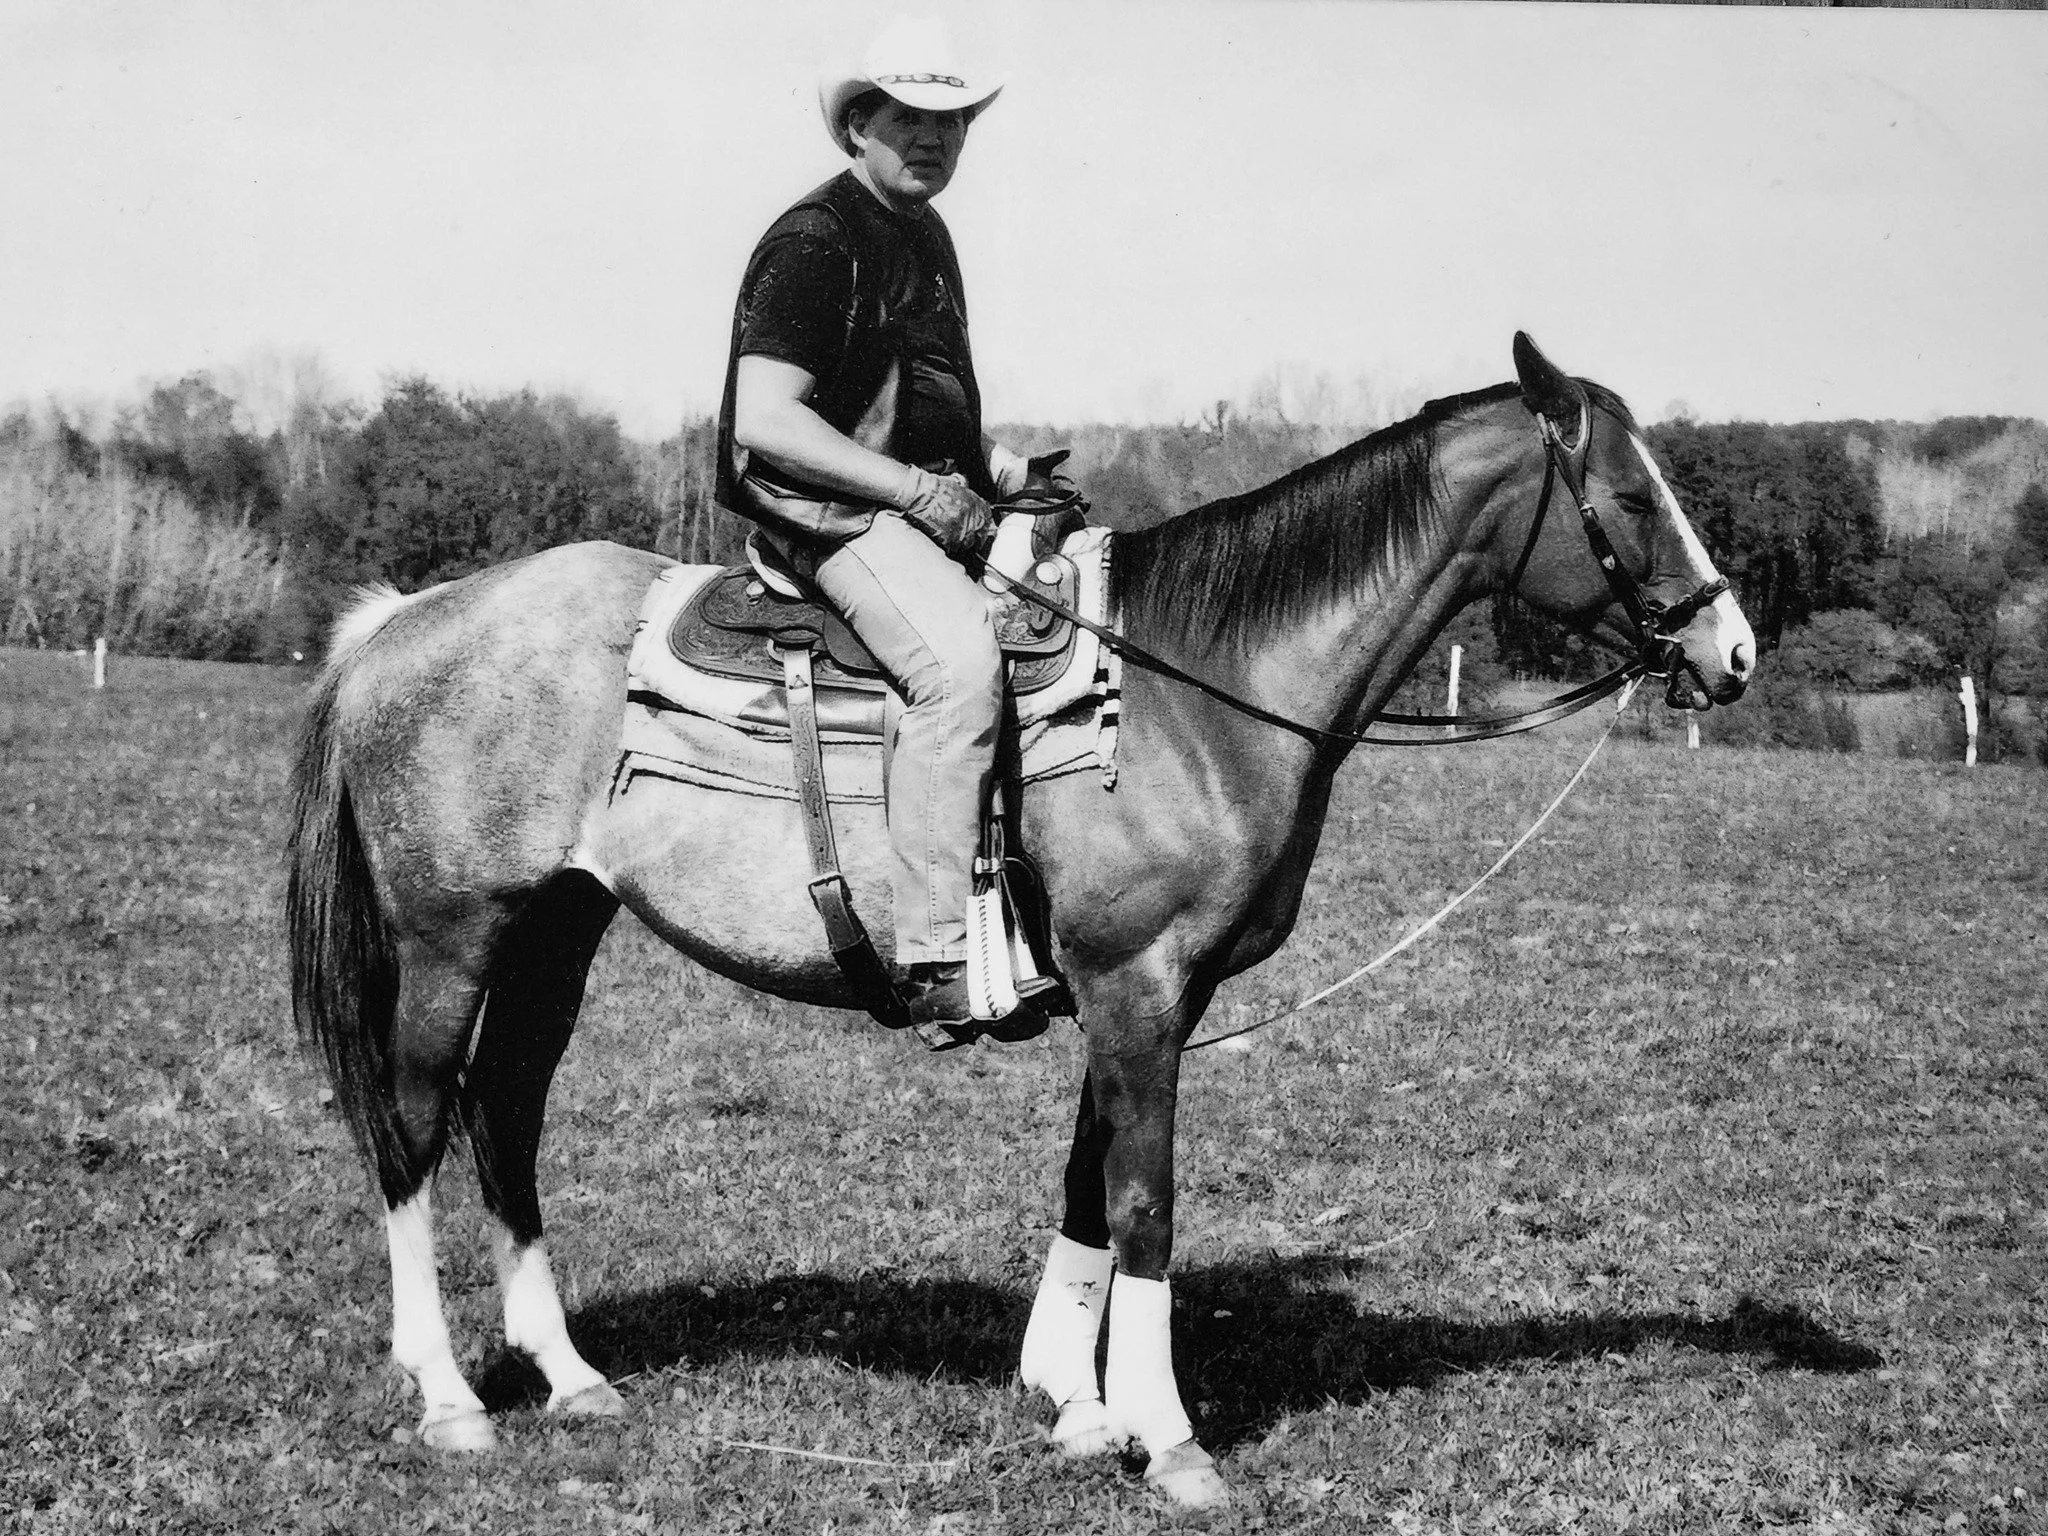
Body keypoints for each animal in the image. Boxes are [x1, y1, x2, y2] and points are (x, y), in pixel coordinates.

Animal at [286, 335, 1753, 1509]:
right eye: (1630, 496)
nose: (1730, 650)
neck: (1194, 687)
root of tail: (401, 618)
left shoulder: (1154, 992)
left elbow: (1088, 1186)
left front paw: (1073, 1401)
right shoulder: (1133, 982)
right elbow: (1148, 1202)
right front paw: (1166, 1437)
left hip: (558, 926)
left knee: (506, 1111)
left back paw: (572, 1376)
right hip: (451, 933)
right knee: (413, 1120)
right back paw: (448, 1396)